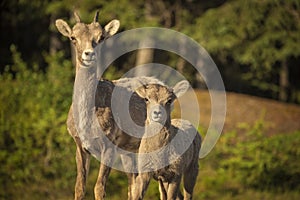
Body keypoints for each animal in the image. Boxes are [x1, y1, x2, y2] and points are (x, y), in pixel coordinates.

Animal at [55, 11, 164, 200]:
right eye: (73, 37)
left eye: (101, 37)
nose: (88, 54)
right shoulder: (80, 145)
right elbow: (79, 187)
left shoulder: (110, 144)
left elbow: (99, 188)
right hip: (129, 151)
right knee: (134, 185)